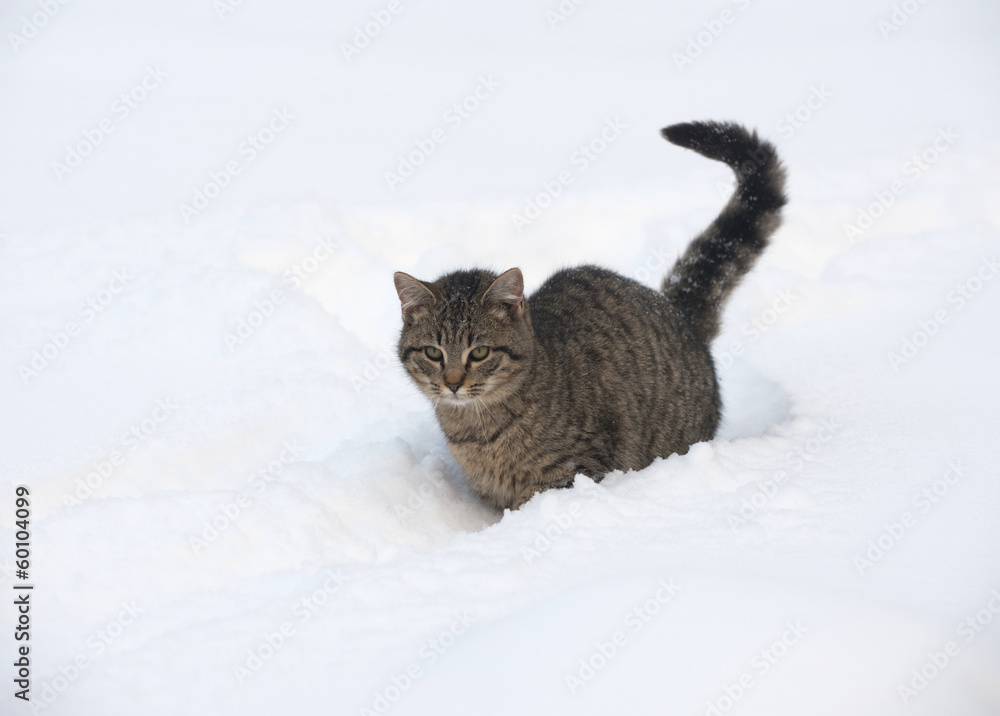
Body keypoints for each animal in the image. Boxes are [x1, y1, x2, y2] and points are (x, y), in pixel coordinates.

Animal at [394, 121, 784, 510]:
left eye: (479, 352)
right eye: (433, 353)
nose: (453, 383)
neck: (478, 430)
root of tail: (675, 309)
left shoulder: (574, 470)